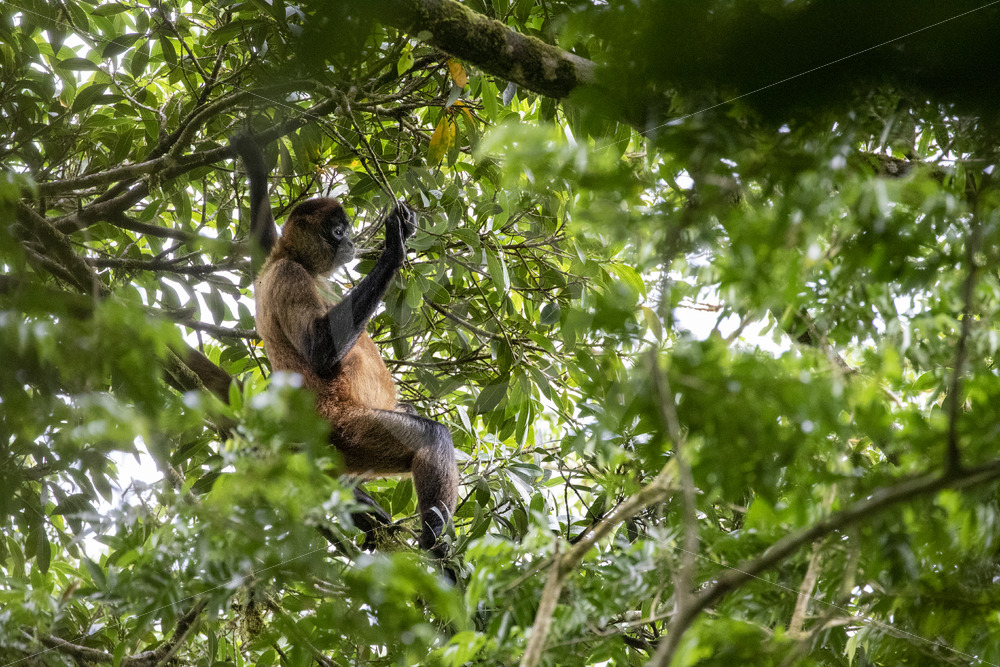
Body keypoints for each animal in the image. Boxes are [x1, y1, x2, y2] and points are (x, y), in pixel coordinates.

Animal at [231, 133, 459, 564]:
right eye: (337, 231)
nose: (351, 241)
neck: (297, 262)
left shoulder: (274, 264)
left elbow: (261, 239)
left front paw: (253, 158)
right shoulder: (287, 275)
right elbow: (320, 349)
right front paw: (395, 245)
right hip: (347, 432)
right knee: (431, 438)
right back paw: (439, 556)